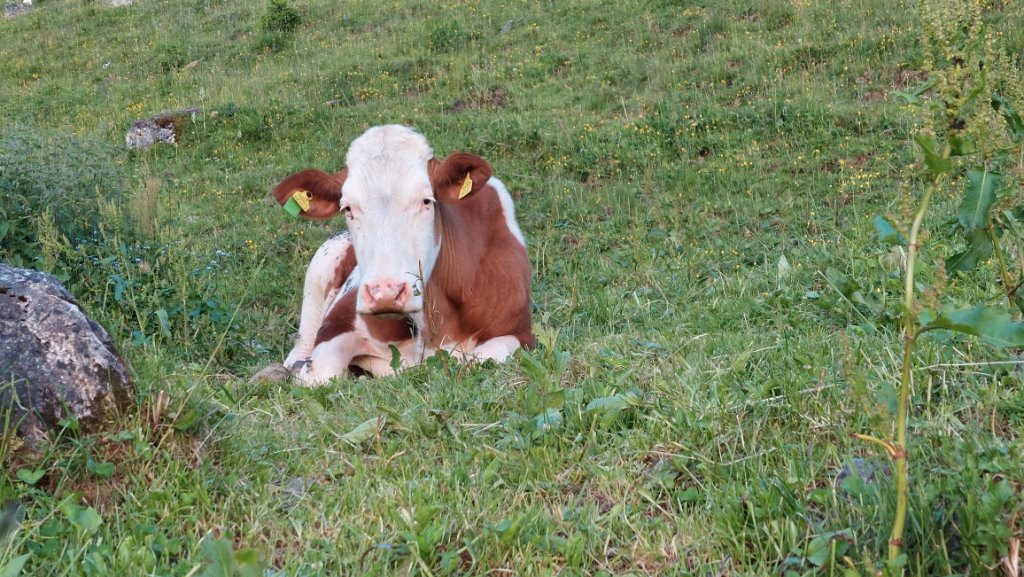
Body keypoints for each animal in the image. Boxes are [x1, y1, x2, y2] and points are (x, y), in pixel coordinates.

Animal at [253, 125, 535, 385]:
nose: (385, 293)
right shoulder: (337, 322)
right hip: (319, 269)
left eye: (426, 200)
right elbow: (319, 372)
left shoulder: (522, 333)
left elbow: (483, 357)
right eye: (347, 208)